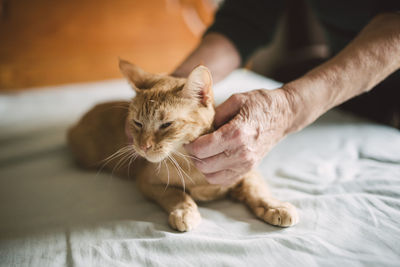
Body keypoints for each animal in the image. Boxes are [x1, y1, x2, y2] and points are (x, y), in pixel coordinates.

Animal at [67, 59, 298, 231]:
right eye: (137, 123)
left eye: (166, 124)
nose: (143, 146)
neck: (193, 168)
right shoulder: (147, 181)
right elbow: (176, 194)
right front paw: (185, 211)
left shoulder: (246, 172)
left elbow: (257, 190)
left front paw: (275, 206)